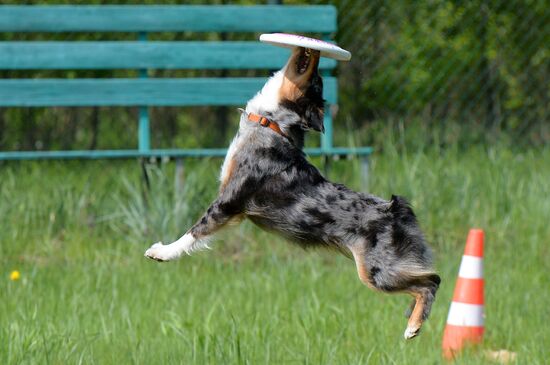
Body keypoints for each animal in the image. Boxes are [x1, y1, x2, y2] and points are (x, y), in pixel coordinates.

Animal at [144, 47, 442, 336]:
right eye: (319, 79)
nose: (315, 49)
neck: (270, 123)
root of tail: (394, 209)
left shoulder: (229, 200)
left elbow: (194, 232)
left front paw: (161, 252)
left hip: (376, 271)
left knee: (432, 280)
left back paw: (413, 326)